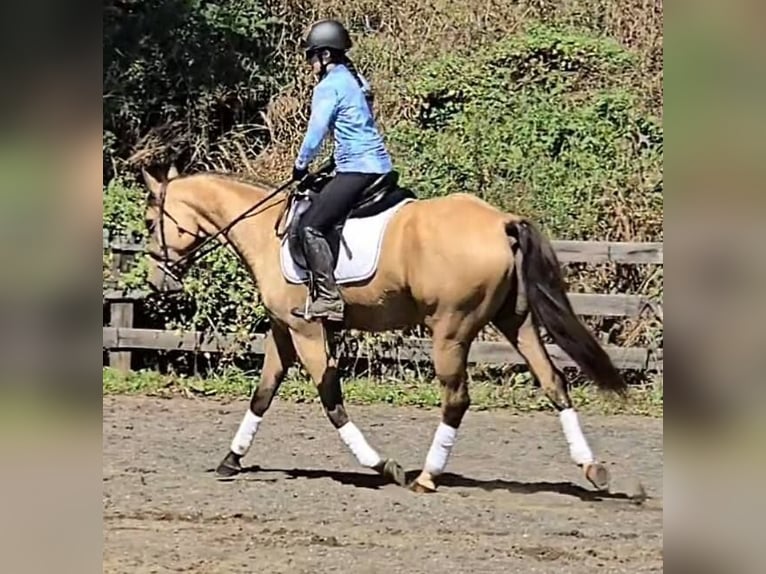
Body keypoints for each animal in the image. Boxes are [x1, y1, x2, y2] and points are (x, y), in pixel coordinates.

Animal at [140, 164, 627, 493]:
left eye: (148, 222)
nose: (155, 281)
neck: (265, 229)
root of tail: (500, 221)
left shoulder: (307, 332)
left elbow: (331, 400)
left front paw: (382, 466)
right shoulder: (284, 330)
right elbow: (263, 394)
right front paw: (230, 460)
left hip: (450, 331)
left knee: (457, 399)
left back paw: (426, 477)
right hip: (516, 321)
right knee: (554, 382)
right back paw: (593, 469)